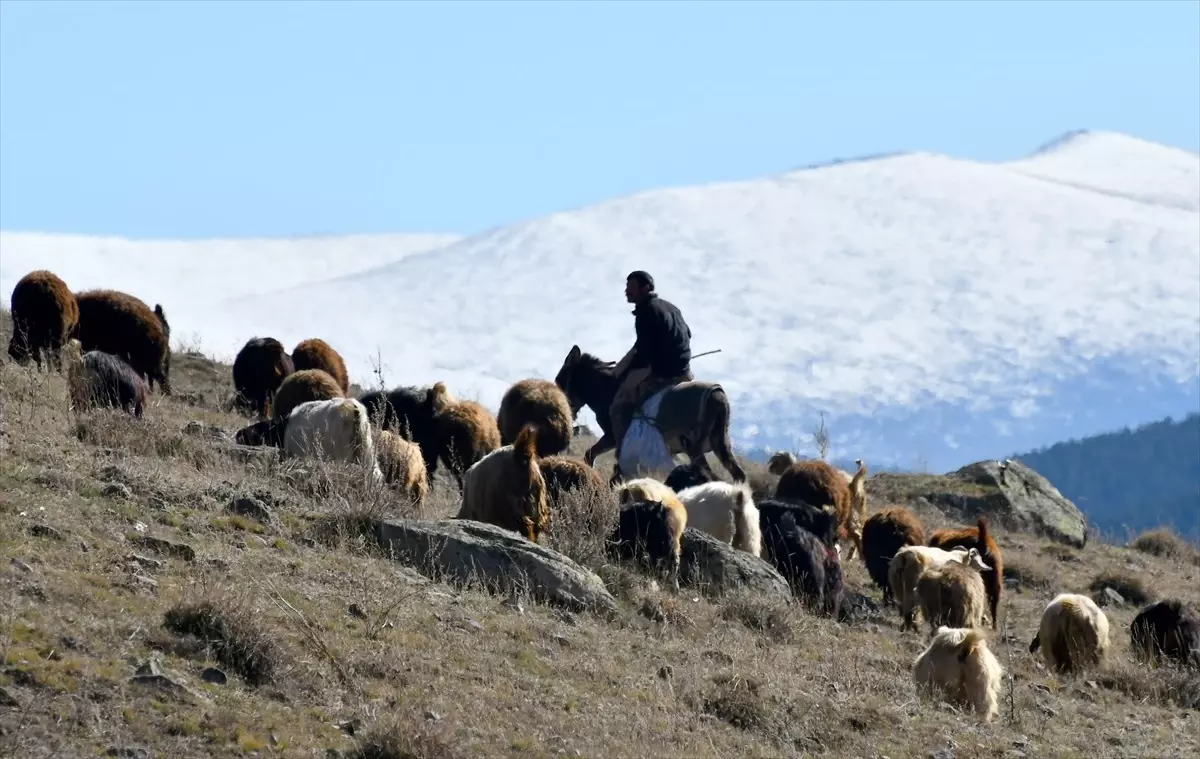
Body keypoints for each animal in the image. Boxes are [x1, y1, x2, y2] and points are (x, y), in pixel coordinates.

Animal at [554, 343, 744, 485]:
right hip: (721, 446)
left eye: (560, 379)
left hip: (695, 450)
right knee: (738, 476)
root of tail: (718, 398)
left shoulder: (612, 437)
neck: (606, 389)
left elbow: (591, 454)